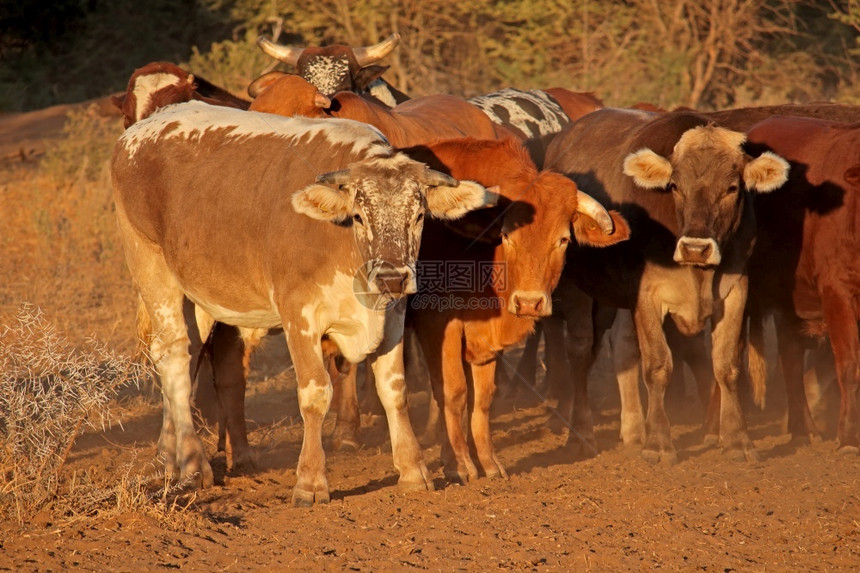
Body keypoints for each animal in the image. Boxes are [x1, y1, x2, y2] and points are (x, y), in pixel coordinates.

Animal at [112, 100, 498, 502]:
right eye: (359, 216)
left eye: (419, 216)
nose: (392, 276)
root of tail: (141, 129)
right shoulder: (299, 313)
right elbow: (315, 393)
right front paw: (311, 480)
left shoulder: (392, 313)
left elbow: (394, 389)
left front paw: (412, 469)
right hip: (151, 265)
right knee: (173, 356)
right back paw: (191, 463)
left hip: (203, 296)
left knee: (189, 360)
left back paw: (168, 457)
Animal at [548, 108, 788, 464]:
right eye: (675, 185)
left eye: (732, 188)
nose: (695, 248)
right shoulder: (647, 296)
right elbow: (658, 365)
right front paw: (659, 443)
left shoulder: (735, 292)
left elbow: (727, 365)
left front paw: (737, 439)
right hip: (578, 291)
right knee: (579, 352)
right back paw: (581, 434)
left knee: (611, 351)